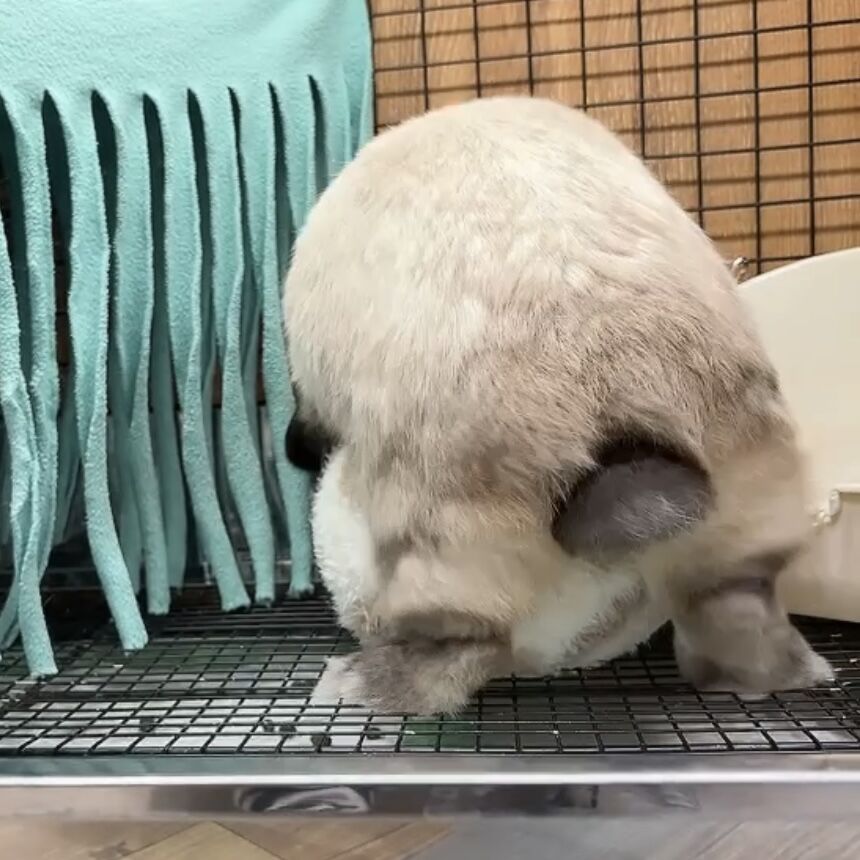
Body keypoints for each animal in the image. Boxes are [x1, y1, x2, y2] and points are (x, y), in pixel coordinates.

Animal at [283, 96, 832, 716]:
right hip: (741, 513)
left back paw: (358, 681)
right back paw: (782, 674)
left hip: (442, 539)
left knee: (462, 644)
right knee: (740, 608)